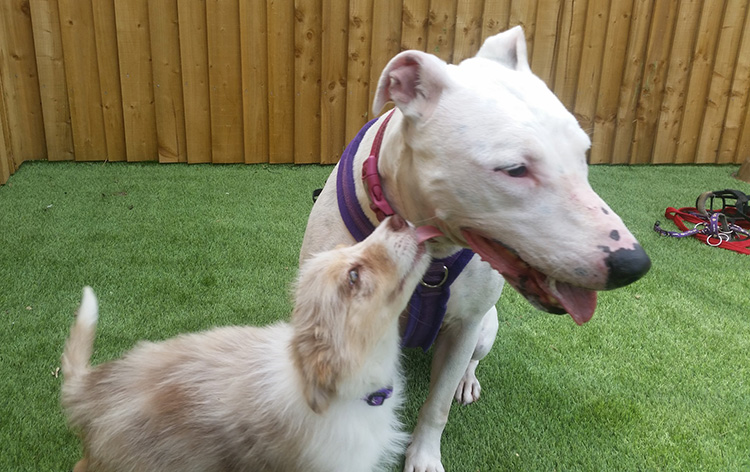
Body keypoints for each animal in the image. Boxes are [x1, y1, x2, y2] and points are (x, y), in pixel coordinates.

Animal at [300, 26, 652, 472]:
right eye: (515, 169)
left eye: (583, 152)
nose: (634, 264)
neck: (428, 246)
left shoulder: (466, 325)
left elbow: (437, 406)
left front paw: (424, 457)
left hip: (485, 328)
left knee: (469, 361)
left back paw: (466, 381)